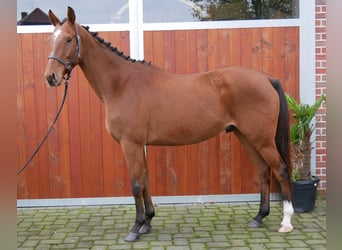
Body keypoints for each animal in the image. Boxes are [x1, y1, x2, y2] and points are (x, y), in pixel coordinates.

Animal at [43, 7, 294, 242]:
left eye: (68, 39)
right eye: (50, 39)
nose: (51, 77)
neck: (122, 84)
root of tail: (266, 78)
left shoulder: (131, 144)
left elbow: (136, 184)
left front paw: (135, 228)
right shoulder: (140, 145)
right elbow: (145, 181)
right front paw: (147, 222)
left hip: (261, 139)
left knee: (280, 170)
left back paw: (286, 222)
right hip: (246, 136)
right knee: (263, 171)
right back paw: (258, 217)